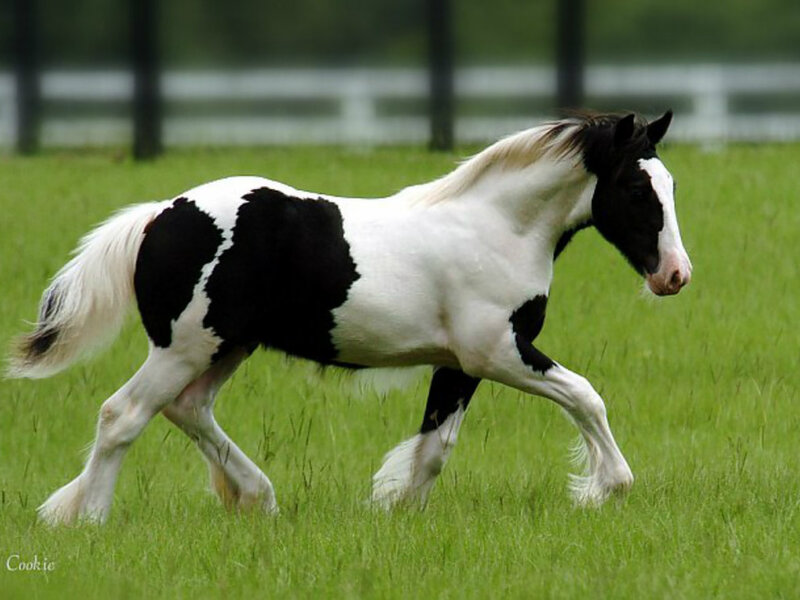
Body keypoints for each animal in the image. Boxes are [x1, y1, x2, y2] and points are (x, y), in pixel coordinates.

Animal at [8, 110, 691, 525]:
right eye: (637, 189)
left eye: (672, 184)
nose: (675, 276)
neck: (495, 228)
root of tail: (157, 216)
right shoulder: (497, 351)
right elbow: (586, 396)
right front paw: (607, 487)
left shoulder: (458, 365)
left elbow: (435, 448)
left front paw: (396, 512)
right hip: (183, 347)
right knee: (122, 414)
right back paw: (89, 518)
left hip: (225, 347)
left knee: (187, 408)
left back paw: (258, 498)